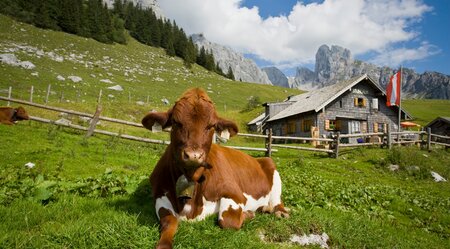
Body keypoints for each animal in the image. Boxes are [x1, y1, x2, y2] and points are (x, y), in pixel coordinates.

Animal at [141, 88, 288, 248]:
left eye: (211, 126)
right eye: (175, 122)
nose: (193, 155)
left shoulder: (235, 194)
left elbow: (228, 221)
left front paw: (248, 214)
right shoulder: (159, 194)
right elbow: (169, 221)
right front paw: (164, 243)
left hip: (272, 168)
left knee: (277, 201)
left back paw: (278, 211)